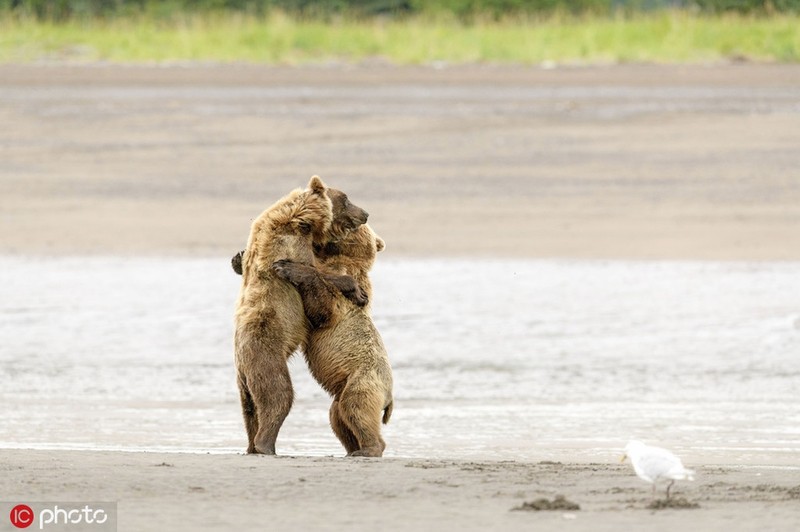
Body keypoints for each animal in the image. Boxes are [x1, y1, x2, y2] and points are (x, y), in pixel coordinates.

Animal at [231, 176, 368, 454]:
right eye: (347, 199)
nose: (365, 214)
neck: (300, 221)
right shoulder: (289, 243)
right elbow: (315, 270)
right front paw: (355, 289)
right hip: (266, 350)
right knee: (278, 395)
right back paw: (266, 445)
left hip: (243, 382)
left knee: (250, 410)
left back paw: (252, 445)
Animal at [268, 223, 394, 458]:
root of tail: (390, 398)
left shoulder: (341, 301)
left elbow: (323, 308)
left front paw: (286, 267)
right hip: (343, 389)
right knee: (339, 417)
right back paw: (352, 449)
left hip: (364, 379)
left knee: (356, 407)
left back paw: (368, 449)